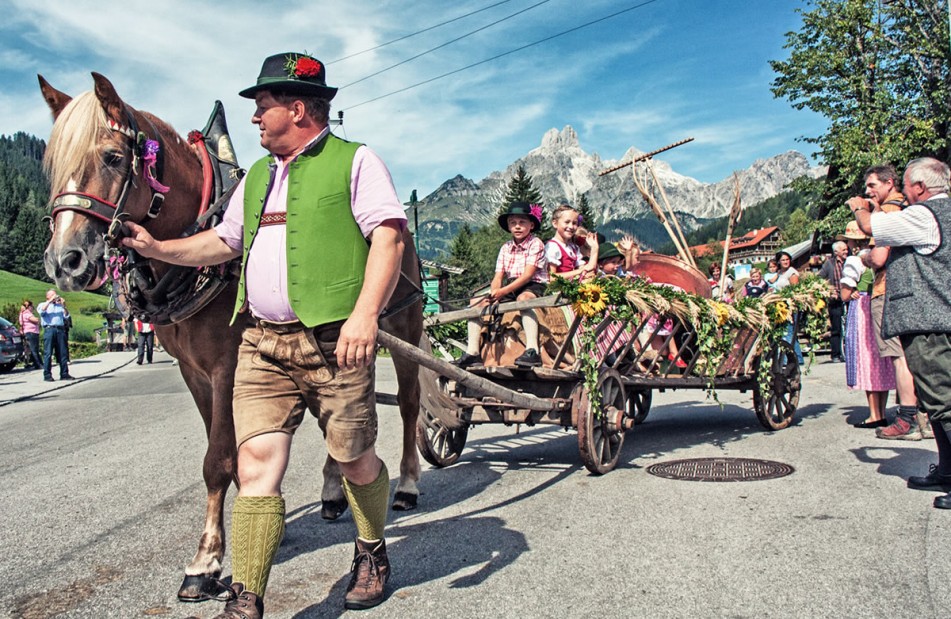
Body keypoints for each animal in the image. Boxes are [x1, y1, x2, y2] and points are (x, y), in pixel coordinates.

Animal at [39, 72, 436, 604]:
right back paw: (333, 491)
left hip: (402, 323)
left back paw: (408, 484)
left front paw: (205, 560)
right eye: (53, 165)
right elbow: (231, 453)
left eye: (113, 157)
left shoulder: (228, 367)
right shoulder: (195, 371)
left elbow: (219, 459)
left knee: (410, 403)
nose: (65, 261)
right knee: (332, 421)